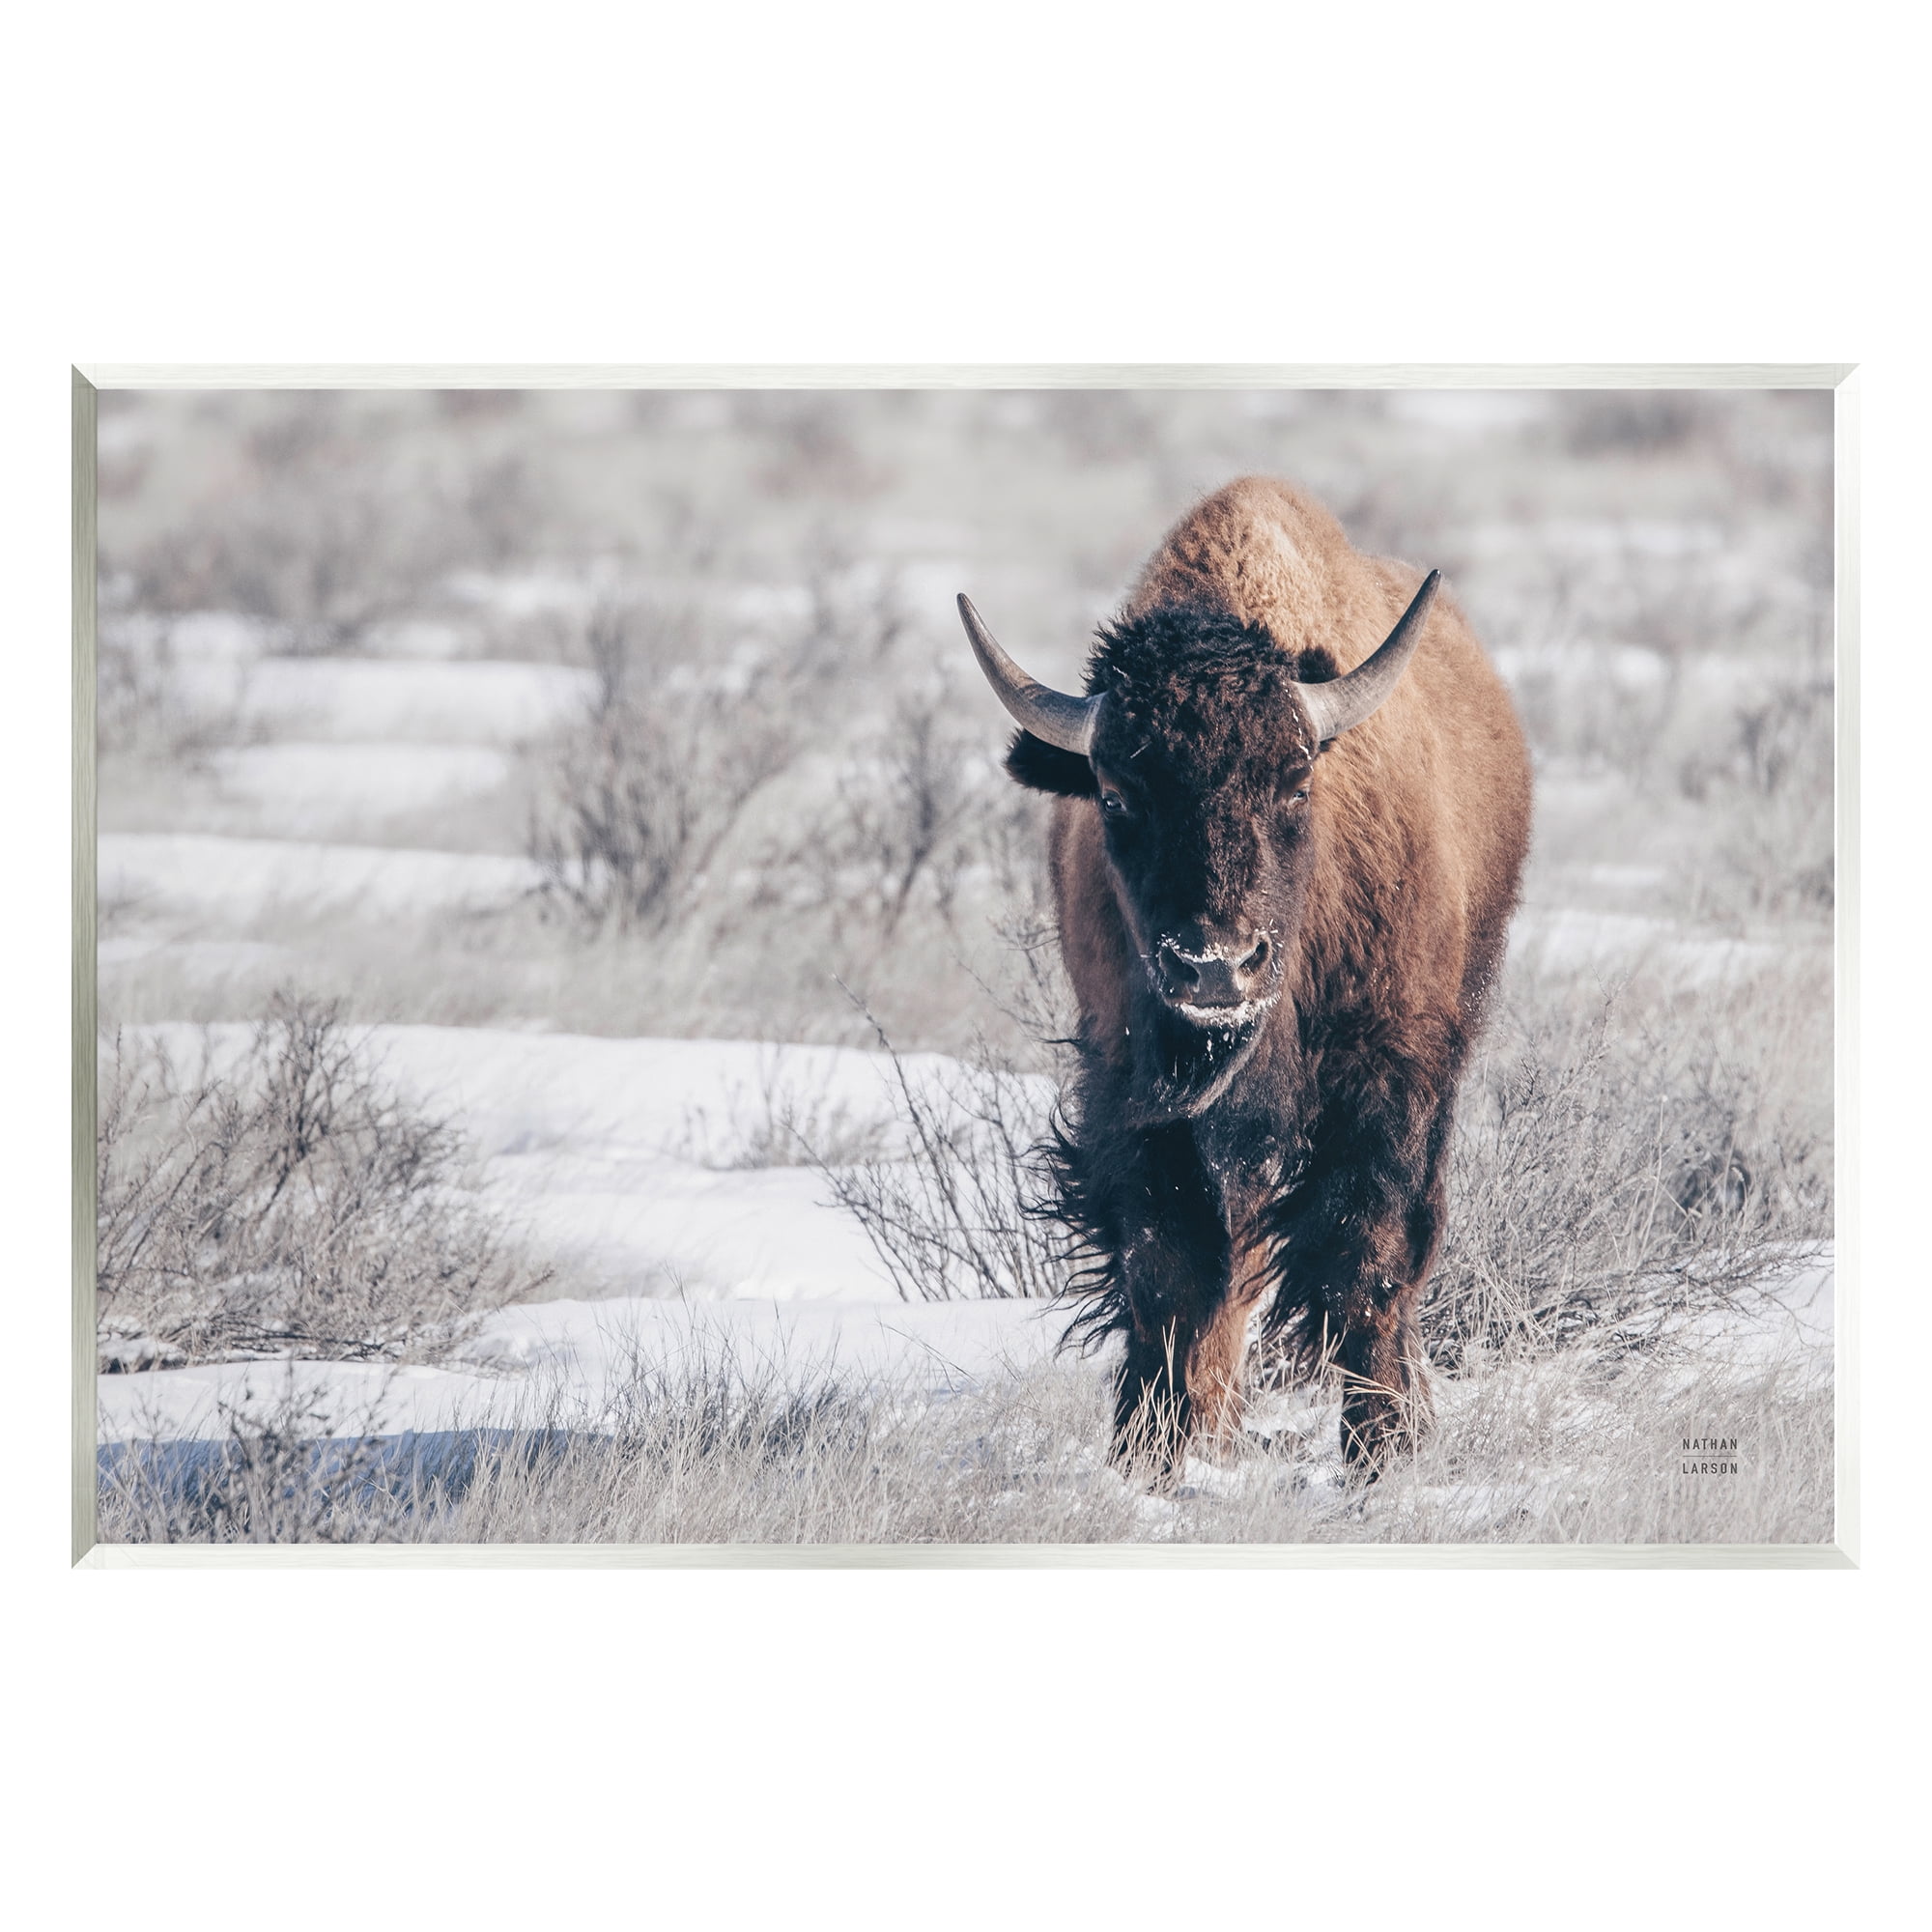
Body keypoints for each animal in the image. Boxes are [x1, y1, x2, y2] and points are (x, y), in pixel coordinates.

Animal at [959, 476, 1532, 1473]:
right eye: (1116, 796)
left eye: (1295, 783)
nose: (1214, 967)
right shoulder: (1133, 1089)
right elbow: (1167, 1269)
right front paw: (1147, 1453)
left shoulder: (1390, 1077)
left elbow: (1369, 1257)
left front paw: (1382, 1450)